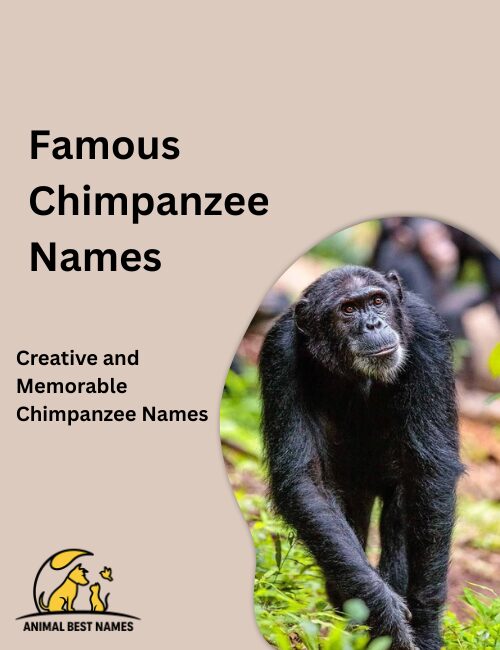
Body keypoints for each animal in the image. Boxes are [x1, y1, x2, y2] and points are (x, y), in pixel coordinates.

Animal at [259, 265, 463, 650]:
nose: (372, 324)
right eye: (349, 310)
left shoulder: (429, 335)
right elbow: (304, 479)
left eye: (378, 301)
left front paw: (425, 626)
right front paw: (383, 609)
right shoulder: (278, 355)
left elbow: (431, 472)